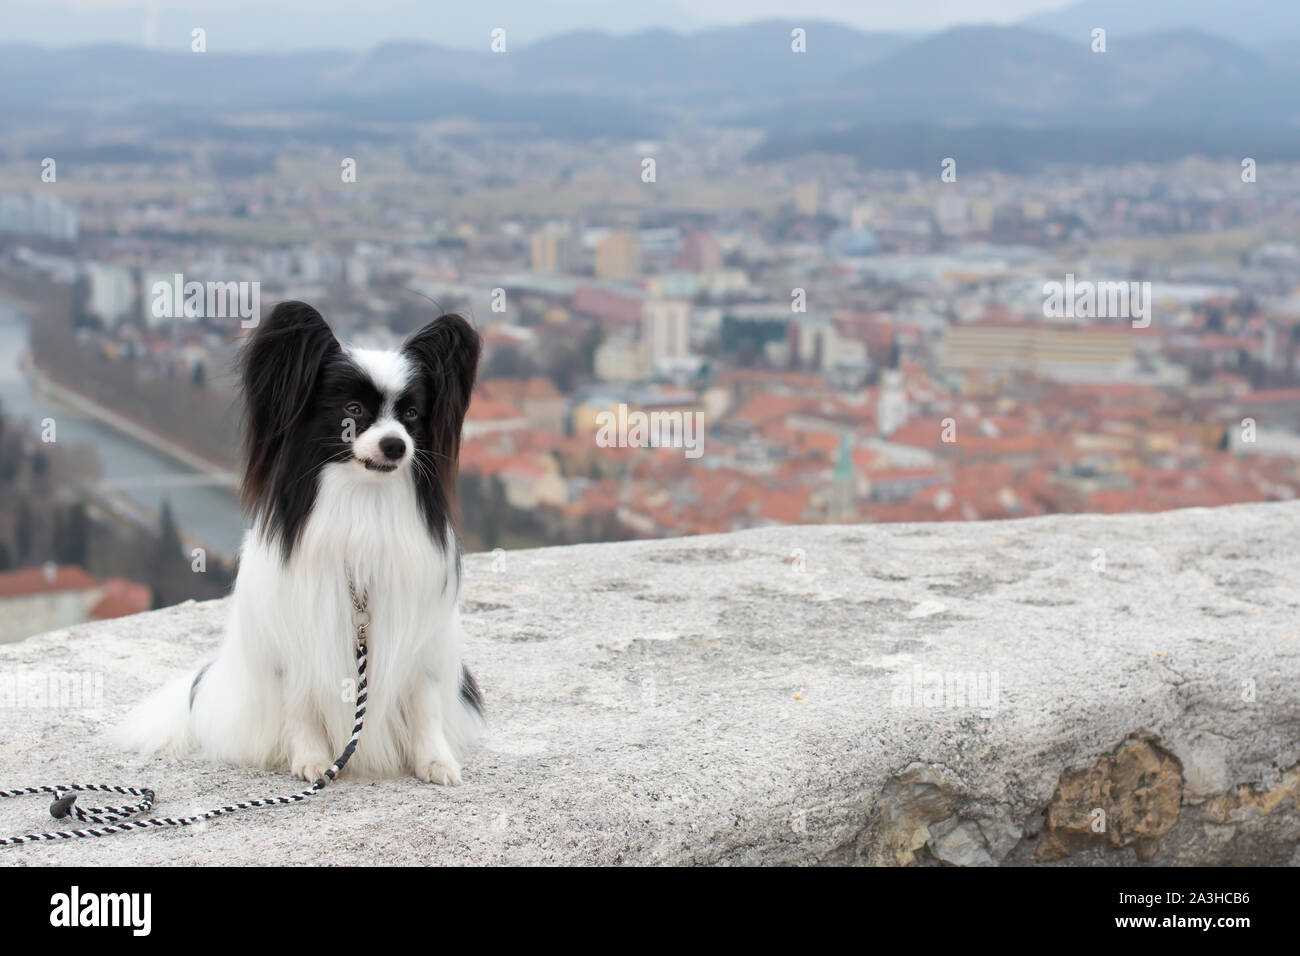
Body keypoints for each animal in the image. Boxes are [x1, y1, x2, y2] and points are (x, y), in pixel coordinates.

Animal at [113, 303, 483, 790]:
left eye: (412, 414)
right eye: (353, 409)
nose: (395, 445)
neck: (363, 500)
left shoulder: (419, 634)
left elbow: (424, 702)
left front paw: (434, 760)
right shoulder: (296, 634)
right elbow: (301, 704)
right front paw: (311, 759)